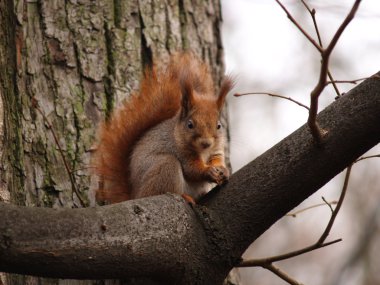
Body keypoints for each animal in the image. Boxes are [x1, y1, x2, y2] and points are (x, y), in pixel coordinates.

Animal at [93, 52, 233, 203]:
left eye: (218, 125)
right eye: (190, 125)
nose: (206, 143)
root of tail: (134, 195)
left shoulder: (216, 150)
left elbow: (217, 159)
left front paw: (223, 171)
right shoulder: (181, 151)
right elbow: (192, 169)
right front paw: (208, 171)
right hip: (165, 167)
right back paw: (184, 197)